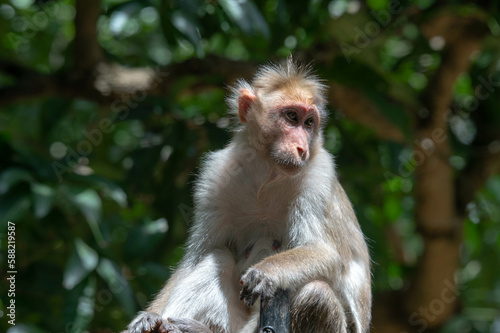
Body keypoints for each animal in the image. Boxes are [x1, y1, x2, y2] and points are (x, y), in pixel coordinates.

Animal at [128, 58, 372, 330]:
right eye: (292, 116)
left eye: (309, 123)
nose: (301, 147)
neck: (268, 172)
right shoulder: (215, 176)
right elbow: (195, 258)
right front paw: (149, 316)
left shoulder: (318, 177)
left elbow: (326, 254)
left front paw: (266, 271)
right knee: (219, 257)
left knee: (317, 295)